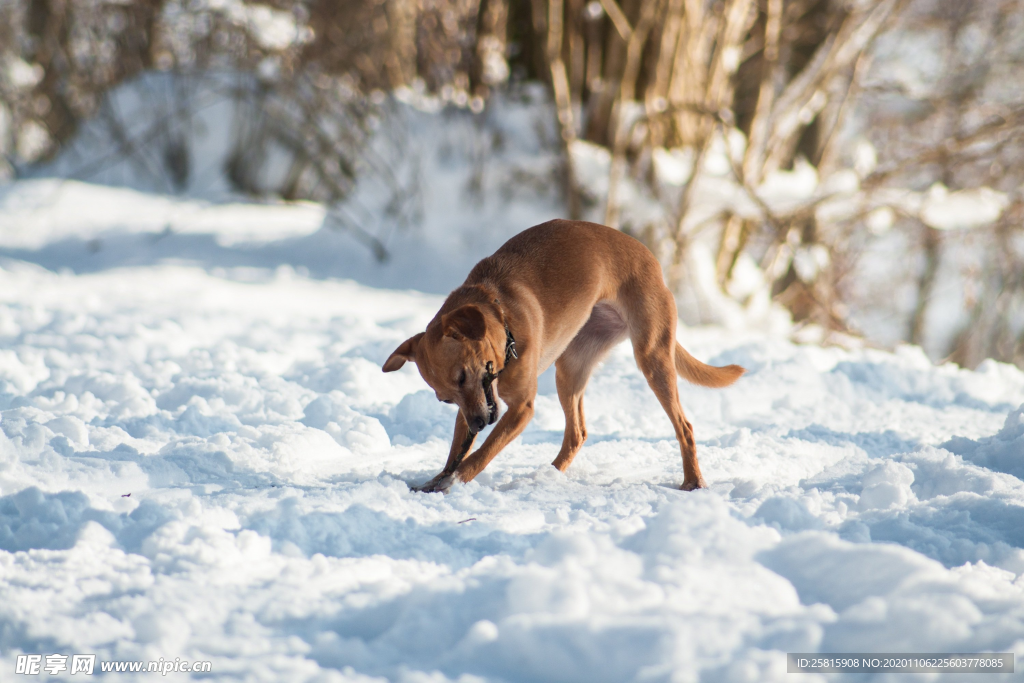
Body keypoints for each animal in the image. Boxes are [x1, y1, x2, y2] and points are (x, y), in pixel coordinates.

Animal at [385, 222, 745, 493]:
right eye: (445, 398)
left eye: (462, 375)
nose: (479, 424)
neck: (503, 318)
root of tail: (652, 261)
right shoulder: (476, 406)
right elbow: (457, 451)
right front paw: (436, 479)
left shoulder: (520, 408)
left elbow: (482, 454)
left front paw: (454, 482)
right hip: (570, 367)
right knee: (577, 433)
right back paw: (548, 476)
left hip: (652, 356)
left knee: (684, 426)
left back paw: (693, 481)